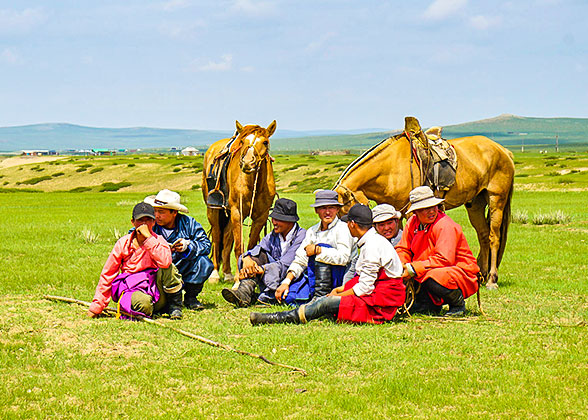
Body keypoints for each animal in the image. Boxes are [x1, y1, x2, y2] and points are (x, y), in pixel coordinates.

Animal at [201, 121, 276, 284]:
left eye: (265, 142)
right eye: (243, 142)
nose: (247, 163)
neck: (255, 185)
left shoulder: (260, 217)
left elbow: (250, 246)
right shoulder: (238, 212)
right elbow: (239, 247)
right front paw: (238, 280)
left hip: (229, 214)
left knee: (227, 237)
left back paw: (228, 273)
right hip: (214, 210)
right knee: (217, 237)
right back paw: (215, 274)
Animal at [336, 131, 516, 288]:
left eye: (347, 213)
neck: (390, 168)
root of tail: (504, 150)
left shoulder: (409, 211)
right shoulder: (395, 212)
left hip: (496, 200)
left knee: (494, 237)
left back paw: (492, 280)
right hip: (475, 204)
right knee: (483, 235)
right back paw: (482, 275)